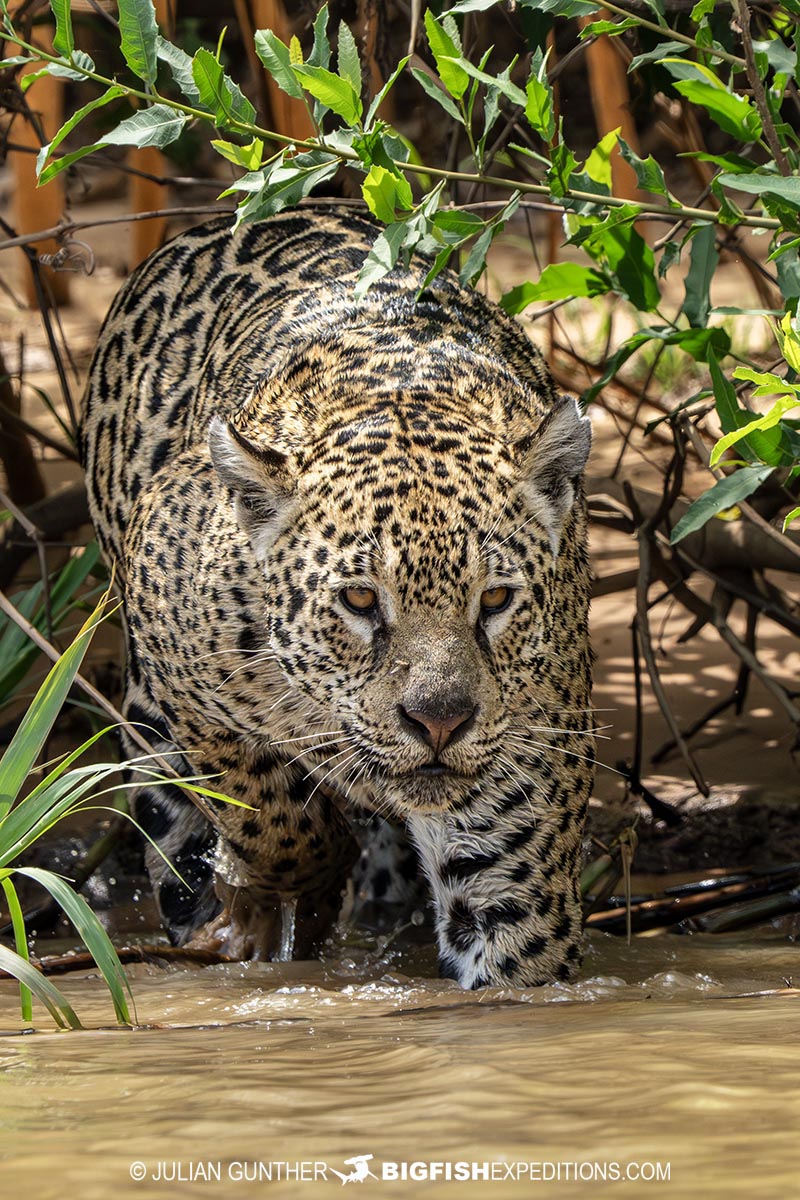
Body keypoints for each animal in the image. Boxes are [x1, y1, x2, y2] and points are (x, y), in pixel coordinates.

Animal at [81, 205, 594, 989]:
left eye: (496, 600)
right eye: (358, 600)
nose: (440, 724)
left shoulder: (516, 806)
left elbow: (518, 953)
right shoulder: (183, 662)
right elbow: (268, 808)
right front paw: (281, 884)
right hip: (147, 723)